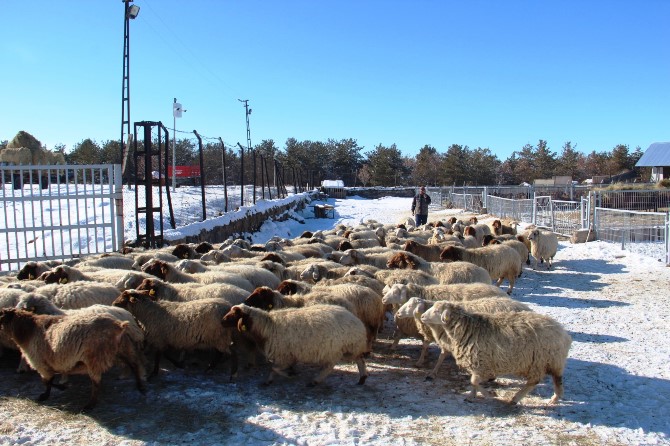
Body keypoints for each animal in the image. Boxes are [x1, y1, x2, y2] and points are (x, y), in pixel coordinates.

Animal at [0, 308, 147, 410]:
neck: (27, 331)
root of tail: (119, 325)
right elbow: (49, 381)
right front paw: (60, 387)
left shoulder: (41, 364)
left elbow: (47, 382)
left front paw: (47, 394)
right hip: (122, 349)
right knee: (134, 365)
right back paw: (140, 386)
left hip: (95, 358)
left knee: (97, 383)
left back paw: (89, 405)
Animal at [222, 304, 370, 386]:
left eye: (235, 314)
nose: (222, 321)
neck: (267, 326)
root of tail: (356, 320)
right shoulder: (288, 355)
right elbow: (275, 369)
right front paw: (272, 379)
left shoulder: (283, 354)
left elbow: (274, 368)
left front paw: (287, 375)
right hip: (350, 347)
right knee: (360, 360)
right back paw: (362, 379)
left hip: (339, 348)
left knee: (331, 366)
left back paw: (315, 381)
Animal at [438, 304, 576, 404]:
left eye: (437, 310)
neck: (466, 328)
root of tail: (564, 334)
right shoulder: (476, 365)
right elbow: (473, 383)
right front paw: (472, 396)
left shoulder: (481, 363)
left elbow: (474, 382)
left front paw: (488, 395)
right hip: (549, 362)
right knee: (553, 379)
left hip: (542, 361)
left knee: (539, 381)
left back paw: (519, 398)